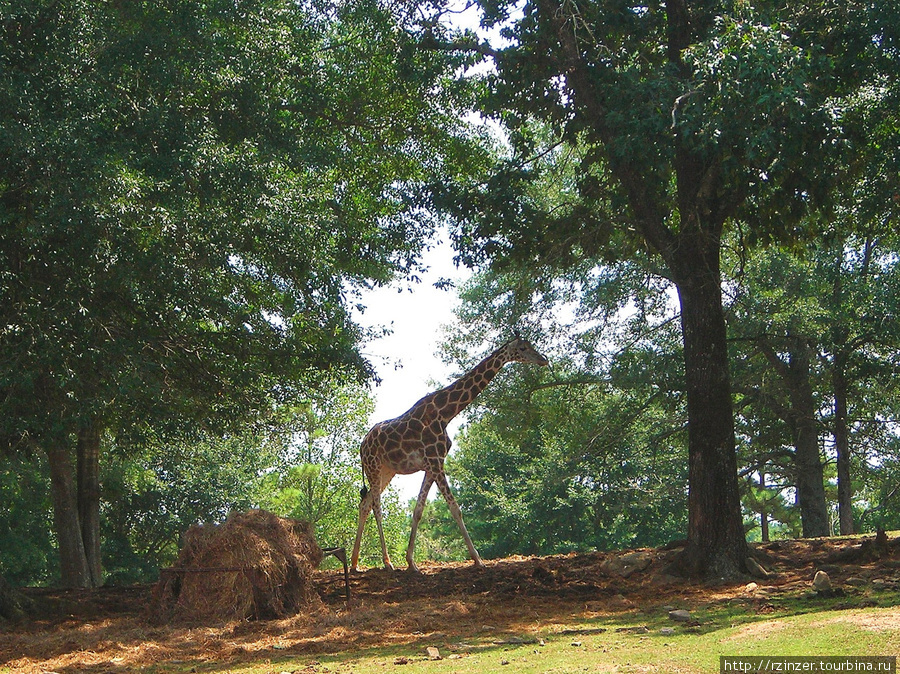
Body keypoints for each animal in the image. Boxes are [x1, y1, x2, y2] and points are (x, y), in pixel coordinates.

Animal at [350, 334, 548, 568]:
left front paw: (411, 562)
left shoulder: (432, 464)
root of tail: (361, 446)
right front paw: (478, 560)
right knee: (376, 507)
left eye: (532, 345)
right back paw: (387, 563)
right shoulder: (436, 462)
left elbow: (418, 511)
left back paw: (354, 563)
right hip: (374, 467)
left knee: (365, 504)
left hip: (387, 471)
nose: (543, 360)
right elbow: (455, 508)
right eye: (523, 348)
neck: (446, 413)